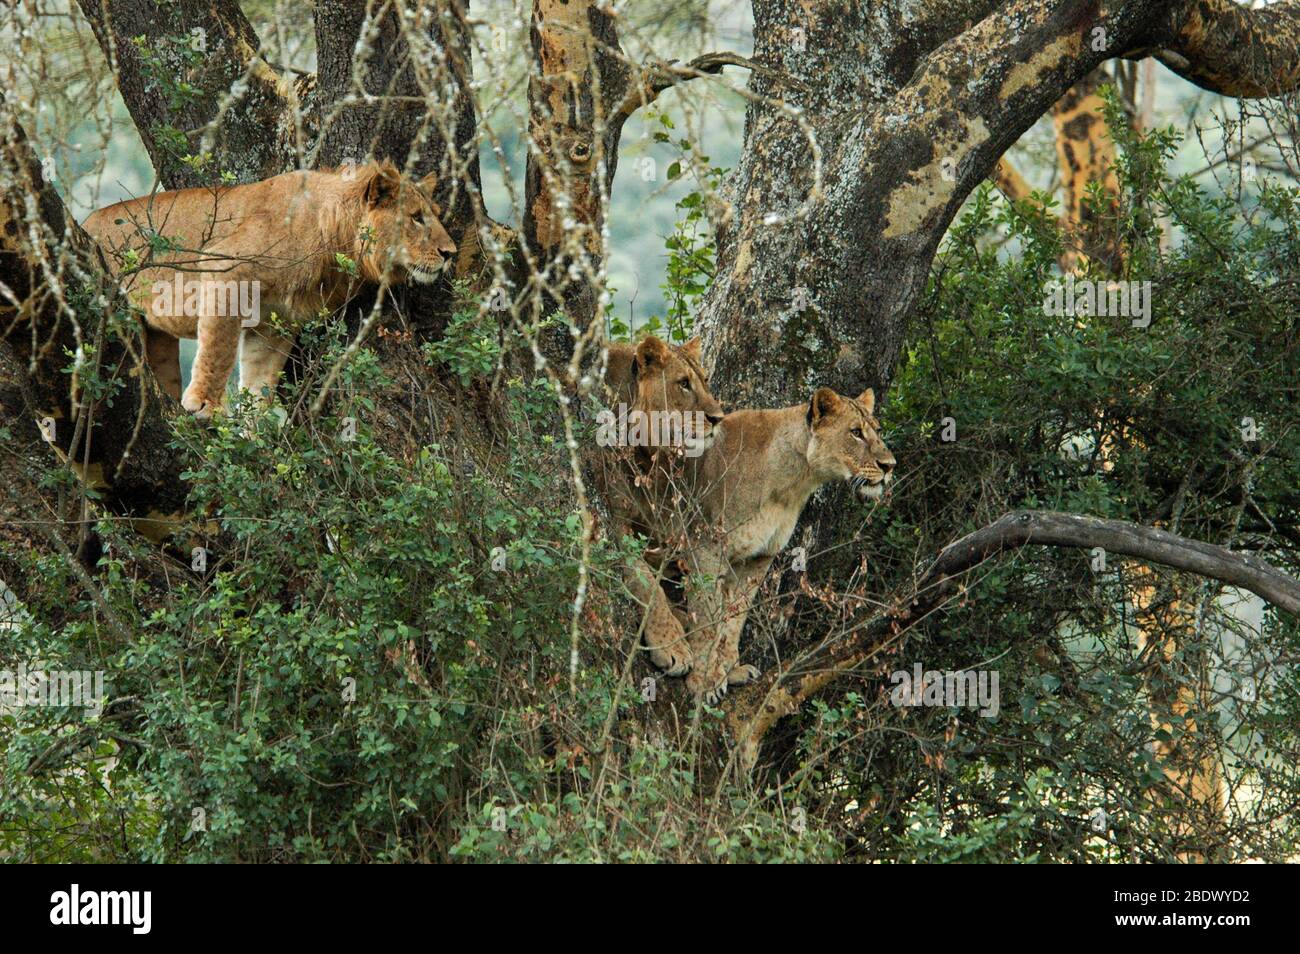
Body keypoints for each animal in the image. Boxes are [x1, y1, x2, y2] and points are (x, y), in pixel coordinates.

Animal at [81, 160, 457, 418]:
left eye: (437, 213)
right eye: (416, 217)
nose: (450, 253)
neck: (337, 238)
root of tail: (83, 224)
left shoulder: (276, 323)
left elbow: (260, 380)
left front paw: (254, 433)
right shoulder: (225, 270)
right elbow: (219, 346)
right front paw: (206, 406)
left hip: (157, 337)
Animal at [592, 335, 728, 681]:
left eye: (705, 381)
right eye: (683, 384)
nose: (718, 419)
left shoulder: (670, 524)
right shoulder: (616, 523)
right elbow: (647, 583)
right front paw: (672, 645)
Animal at [670, 384, 894, 707]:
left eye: (876, 430)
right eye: (855, 433)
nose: (889, 466)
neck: (794, 481)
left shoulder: (758, 557)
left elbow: (734, 618)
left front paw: (727, 671)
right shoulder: (705, 547)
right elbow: (708, 618)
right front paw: (704, 683)